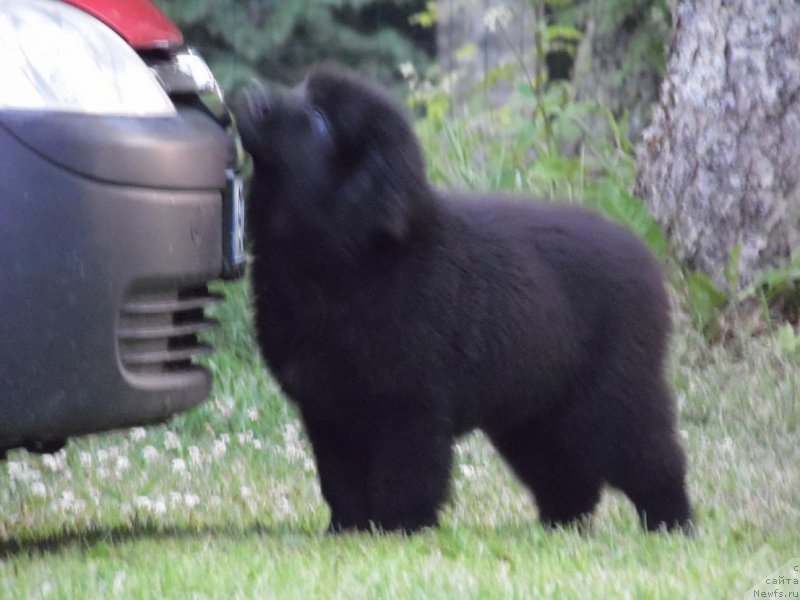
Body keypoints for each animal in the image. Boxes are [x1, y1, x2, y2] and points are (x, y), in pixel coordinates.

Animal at [234, 65, 692, 536]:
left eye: (319, 121)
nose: (250, 96)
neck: (350, 263)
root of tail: (645, 258)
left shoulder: (411, 407)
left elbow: (405, 476)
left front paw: (401, 529)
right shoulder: (327, 411)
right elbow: (340, 479)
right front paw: (348, 530)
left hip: (614, 397)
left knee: (655, 459)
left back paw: (671, 523)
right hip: (533, 414)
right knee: (567, 476)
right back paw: (558, 527)